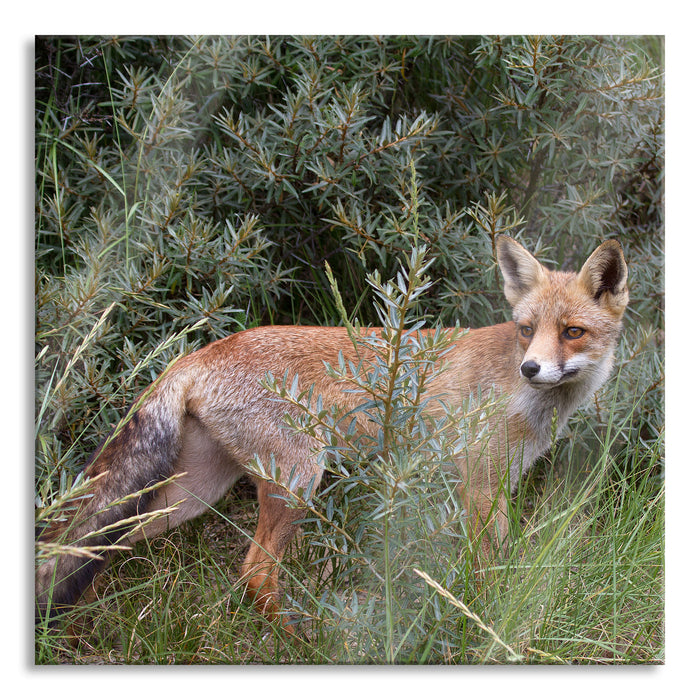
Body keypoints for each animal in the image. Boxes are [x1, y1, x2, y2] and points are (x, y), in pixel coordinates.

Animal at [35, 235, 628, 628]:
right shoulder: (479, 485)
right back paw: (292, 639)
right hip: (299, 480)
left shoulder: (496, 483)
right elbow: (487, 569)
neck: (526, 399)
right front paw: (482, 616)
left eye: (572, 332)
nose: (531, 367)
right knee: (254, 573)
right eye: (527, 330)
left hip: (192, 494)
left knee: (95, 544)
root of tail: (201, 352)